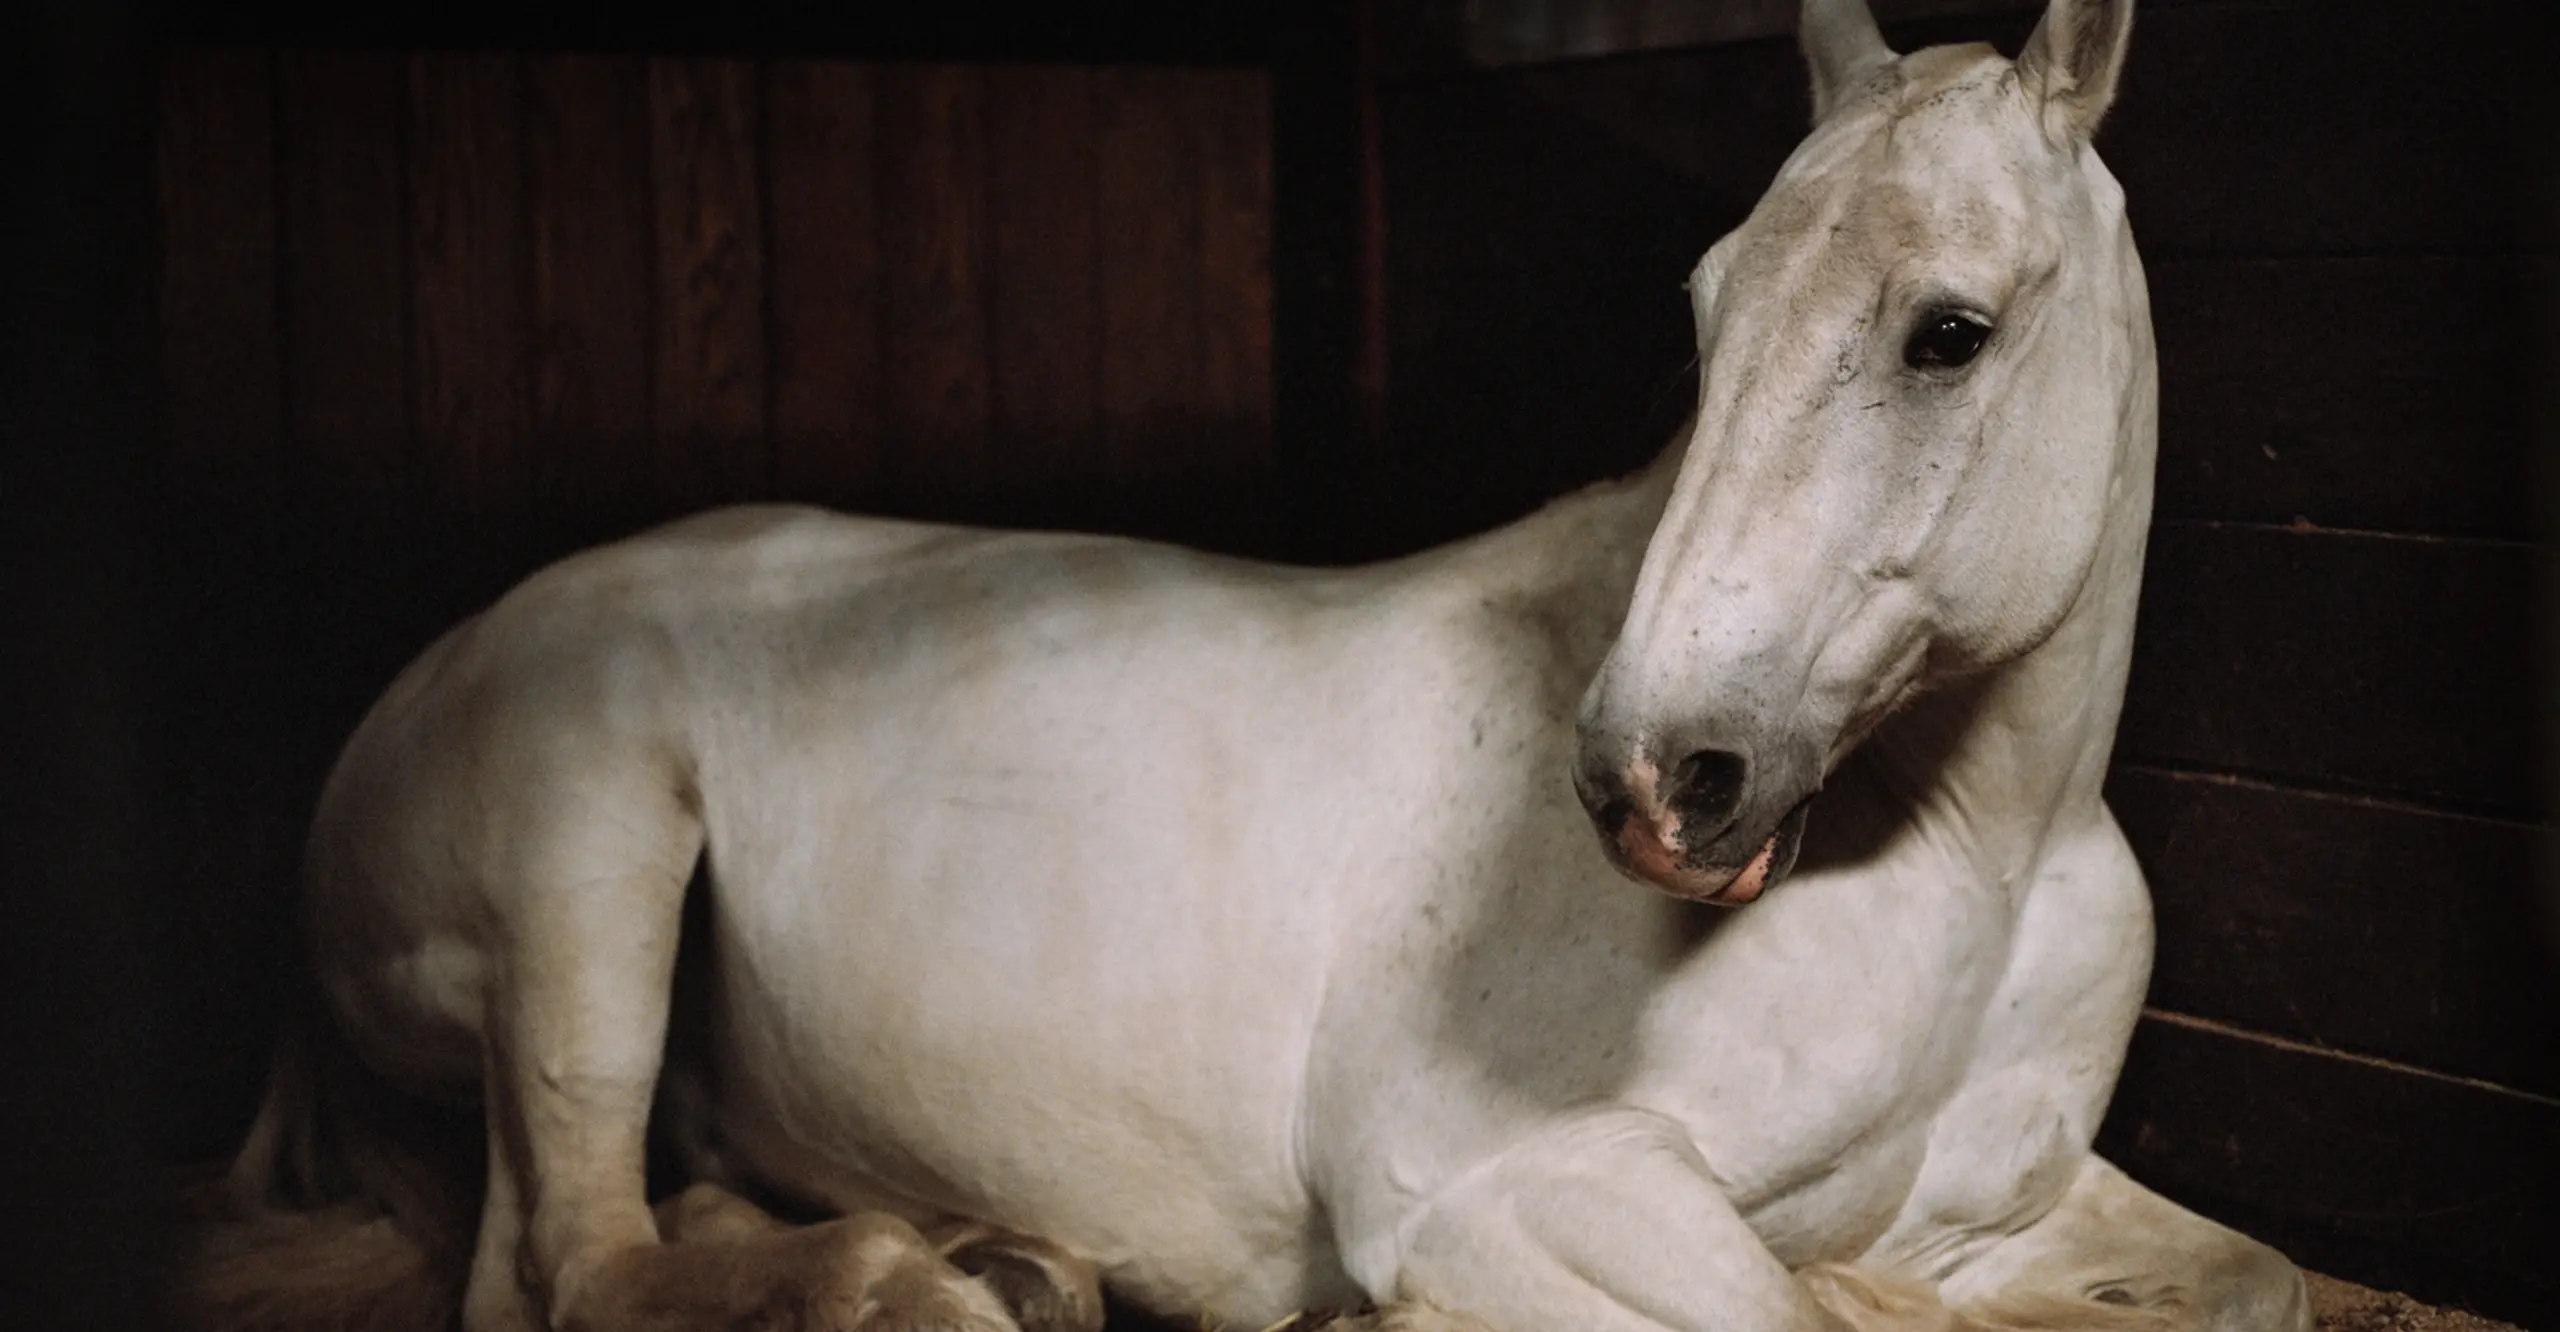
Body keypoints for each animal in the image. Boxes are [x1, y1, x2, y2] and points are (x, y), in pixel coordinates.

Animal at [189, 2, 2324, 1332]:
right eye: (1709, 308)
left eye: (1948, 332)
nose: (1653, 776)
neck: (1970, 856)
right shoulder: (1497, 1183)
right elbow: (1797, 1302)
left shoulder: (2024, 1190)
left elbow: (2262, 1277)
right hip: (592, 879)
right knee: (567, 1261)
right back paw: (907, 1284)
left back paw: (981, 1259)